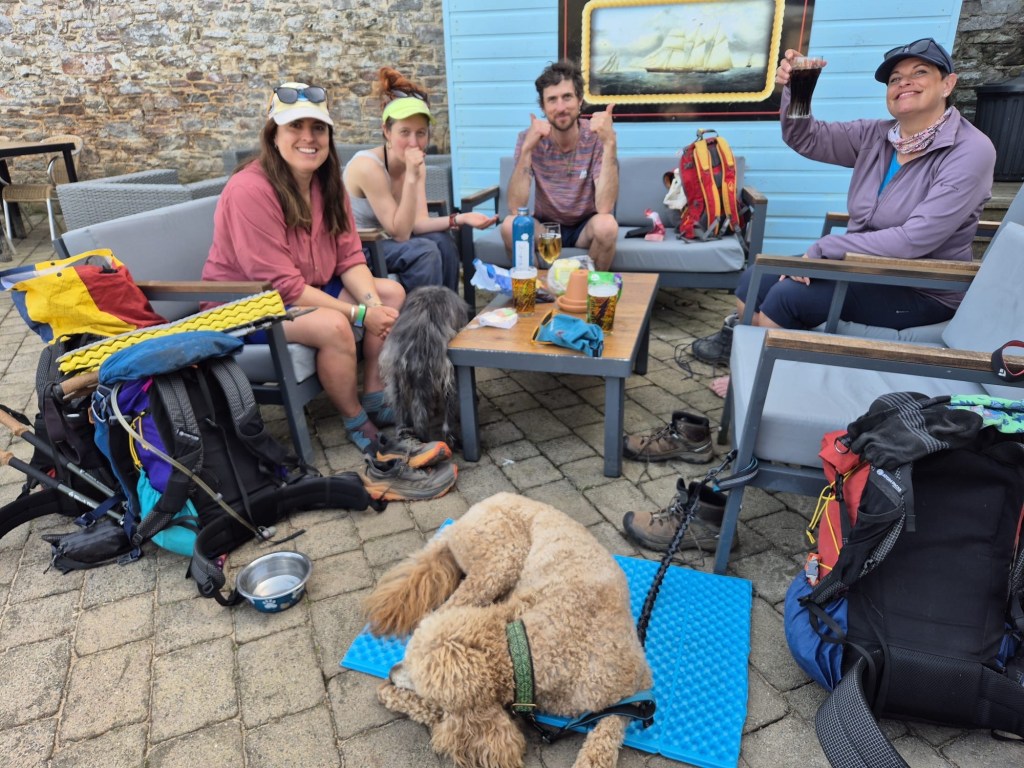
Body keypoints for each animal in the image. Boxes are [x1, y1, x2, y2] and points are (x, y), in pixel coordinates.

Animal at [363, 492, 652, 768]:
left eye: (415, 674)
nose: (391, 672)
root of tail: (471, 512)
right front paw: (389, 694)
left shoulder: (638, 689)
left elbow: (606, 735)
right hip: (499, 562)